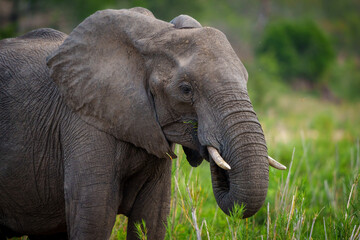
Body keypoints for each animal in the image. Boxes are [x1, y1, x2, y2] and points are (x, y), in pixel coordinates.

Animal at [0, 6, 286, 239]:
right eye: (185, 90)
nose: (208, 147)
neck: (156, 34)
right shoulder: (83, 123)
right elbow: (94, 219)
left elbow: (153, 218)